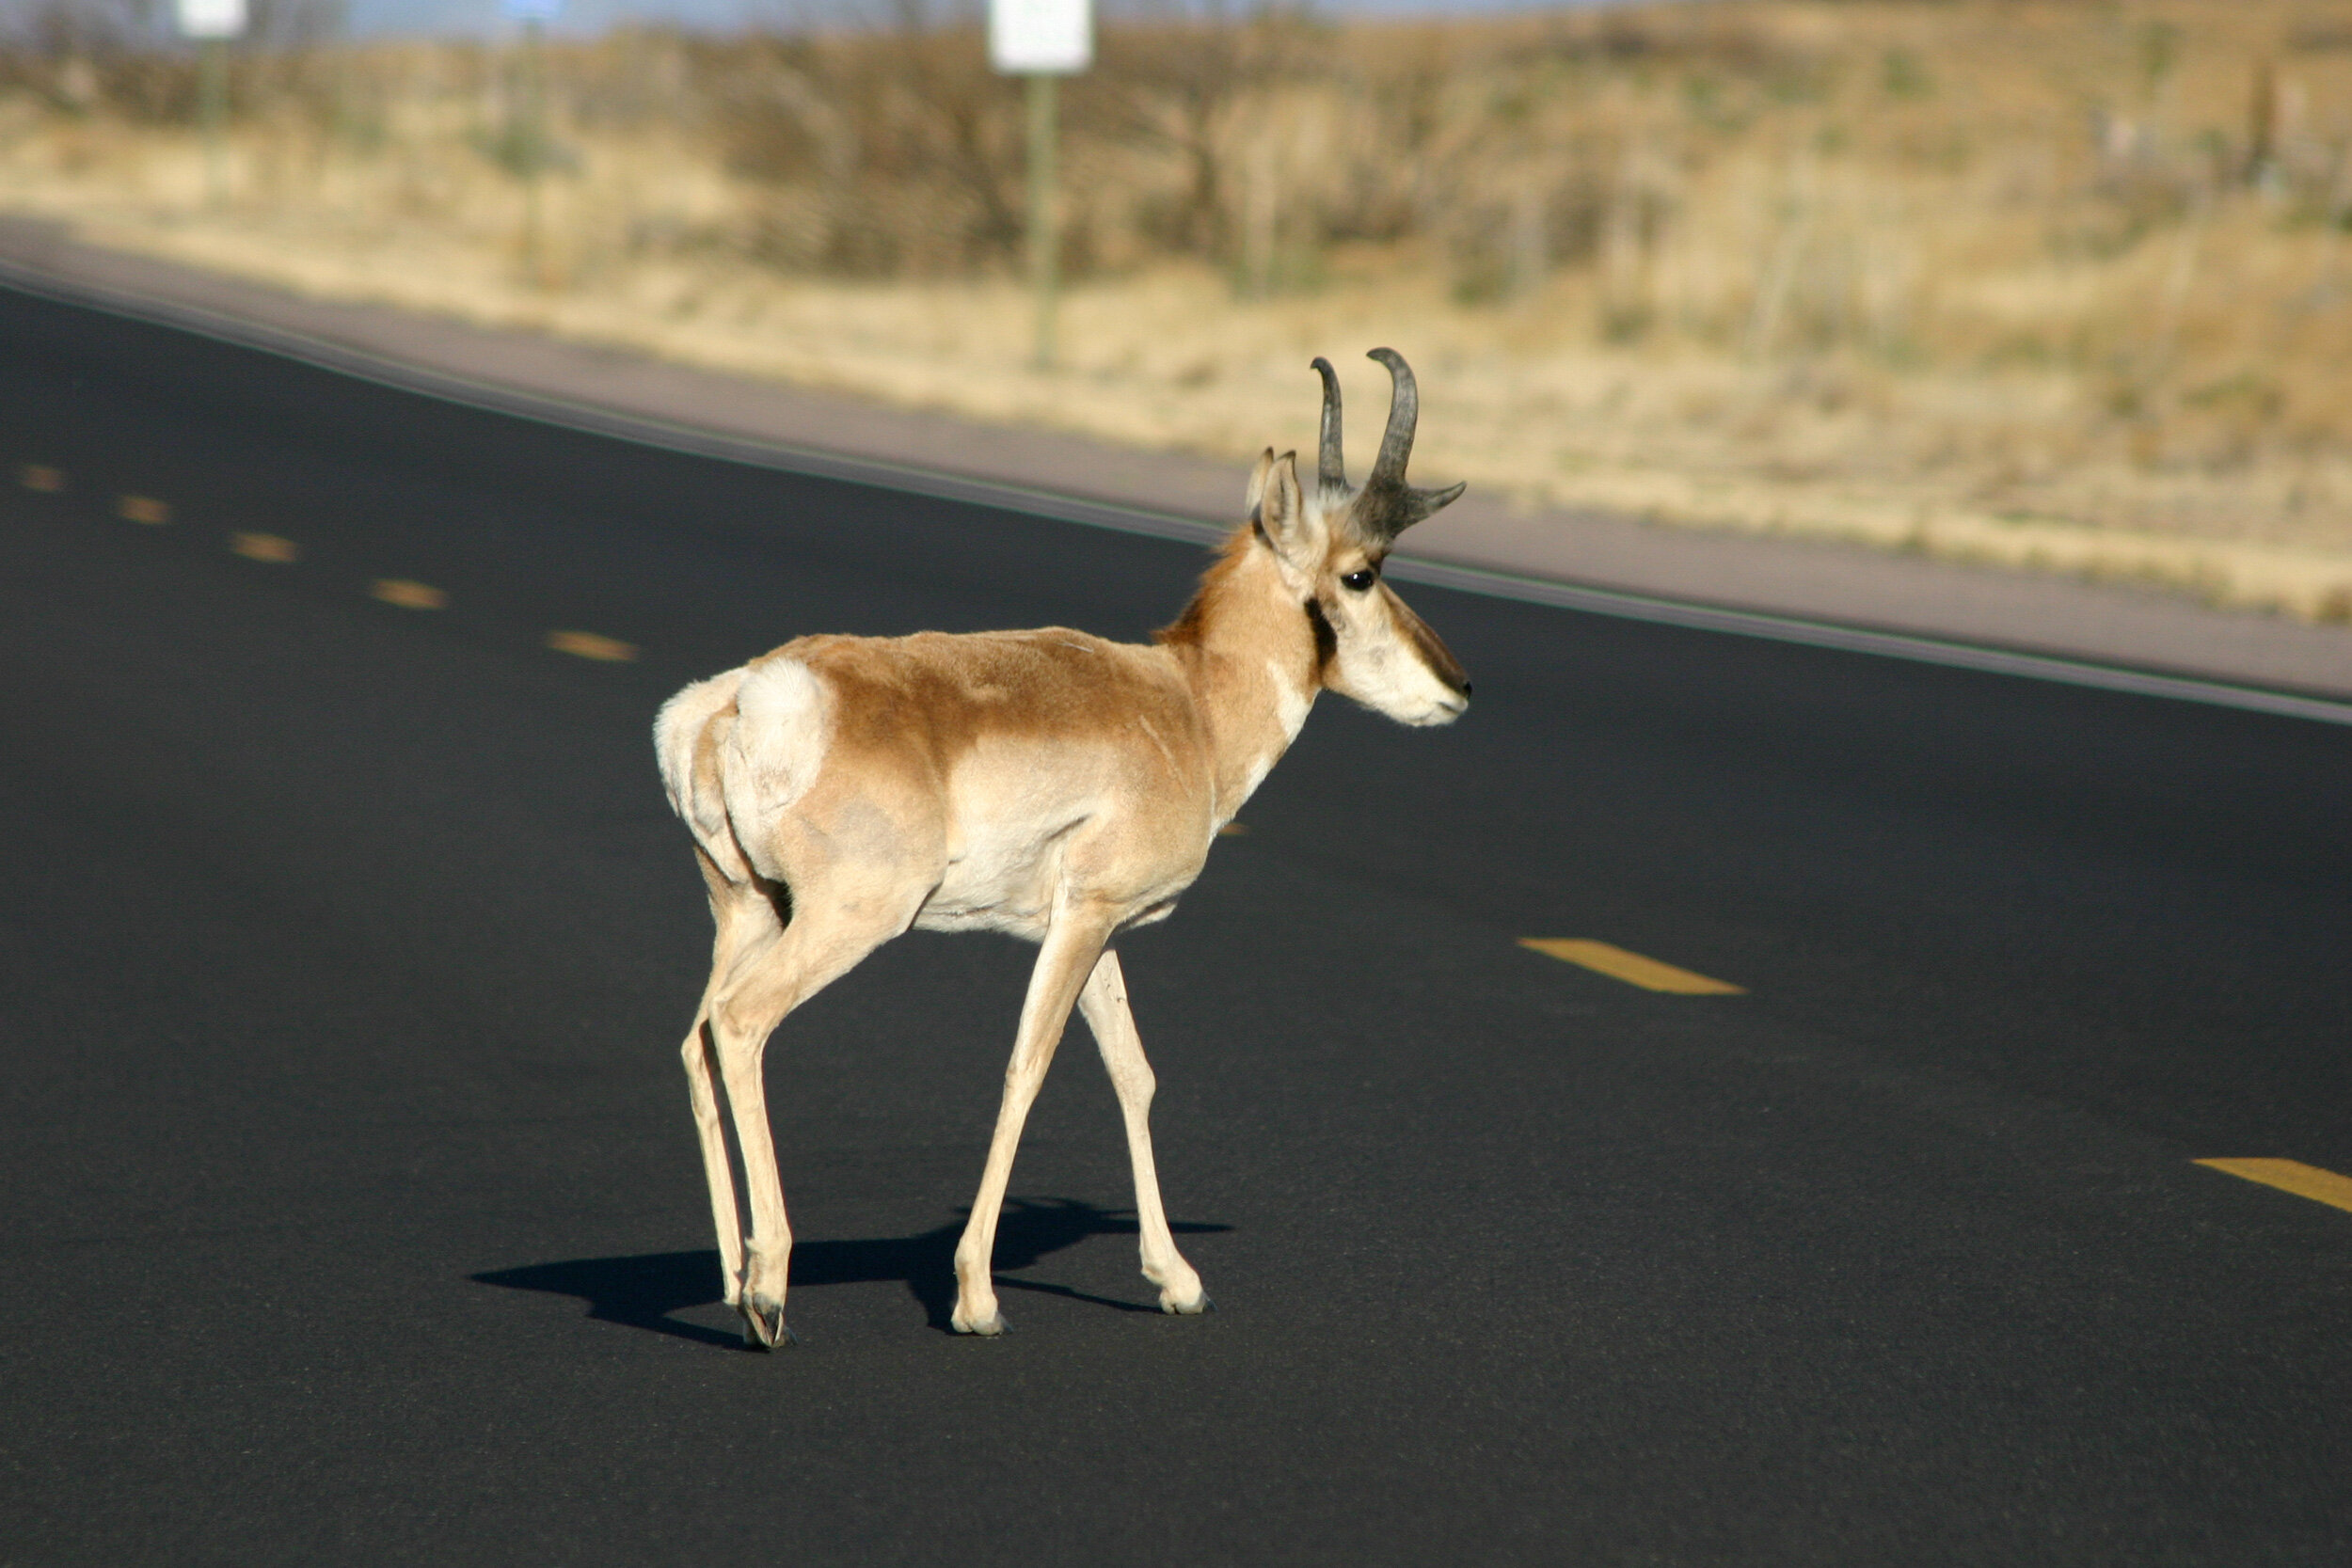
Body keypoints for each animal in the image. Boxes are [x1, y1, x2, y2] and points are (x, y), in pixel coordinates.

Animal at [659, 350, 1468, 1344]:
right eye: (1360, 574)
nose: (1460, 685)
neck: (1186, 705)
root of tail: (740, 700)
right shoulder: (1084, 920)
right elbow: (1030, 1067)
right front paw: (977, 1294)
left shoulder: (1096, 927)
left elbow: (1134, 1073)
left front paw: (1178, 1277)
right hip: (844, 921)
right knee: (740, 1023)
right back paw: (769, 1291)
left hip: (750, 912)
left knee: (697, 1038)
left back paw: (733, 1279)